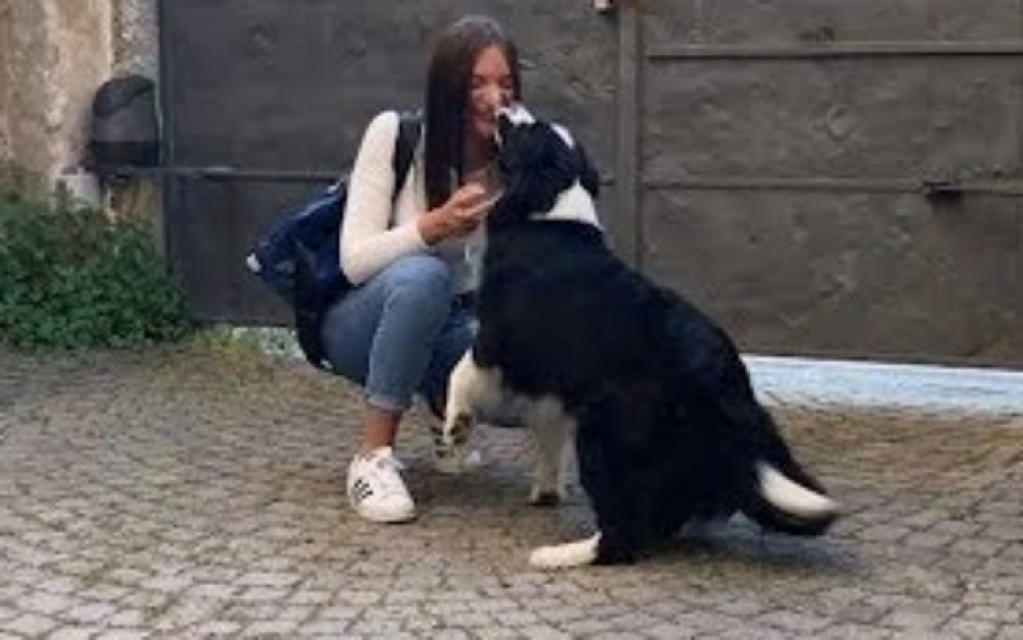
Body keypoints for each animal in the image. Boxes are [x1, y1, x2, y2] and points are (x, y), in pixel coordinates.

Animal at [446, 105, 838, 568]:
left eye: (528, 129)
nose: (506, 107)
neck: (554, 208)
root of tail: (718, 375)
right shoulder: (553, 375)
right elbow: (546, 425)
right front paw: (546, 487)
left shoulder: (497, 341)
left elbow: (460, 374)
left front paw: (455, 428)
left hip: (605, 429)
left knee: (623, 535)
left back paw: (559, 554)